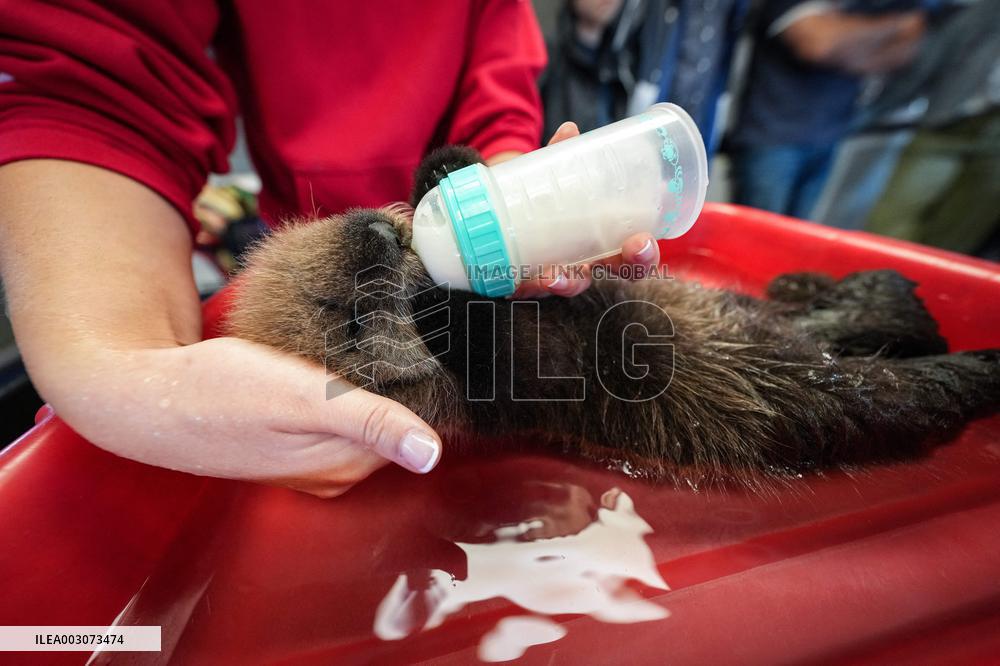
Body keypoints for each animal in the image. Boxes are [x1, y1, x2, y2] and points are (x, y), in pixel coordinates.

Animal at [226, 146, 1000, 485]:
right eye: (351, 319)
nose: (379, 235)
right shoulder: (522, 382)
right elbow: (517, 355)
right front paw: (441, 305)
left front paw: (448, 169)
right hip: (813, 400)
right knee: (897, 390)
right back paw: (967, 355)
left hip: (759, 315)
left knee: (824, 314)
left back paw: (861, 286)